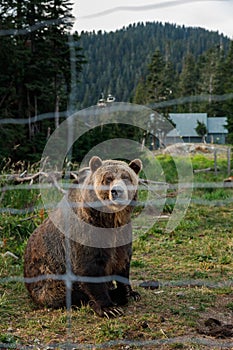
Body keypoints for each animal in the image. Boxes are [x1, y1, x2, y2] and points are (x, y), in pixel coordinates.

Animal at [24, 156, 143, 318]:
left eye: (126, 177)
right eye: (108, 178)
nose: (117, 191)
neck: (109, 220)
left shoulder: (122, 233)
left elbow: (123, 262)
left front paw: (130, 292)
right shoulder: (85, 233)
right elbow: (88, 267)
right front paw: (108, 308)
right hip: (49, 283)